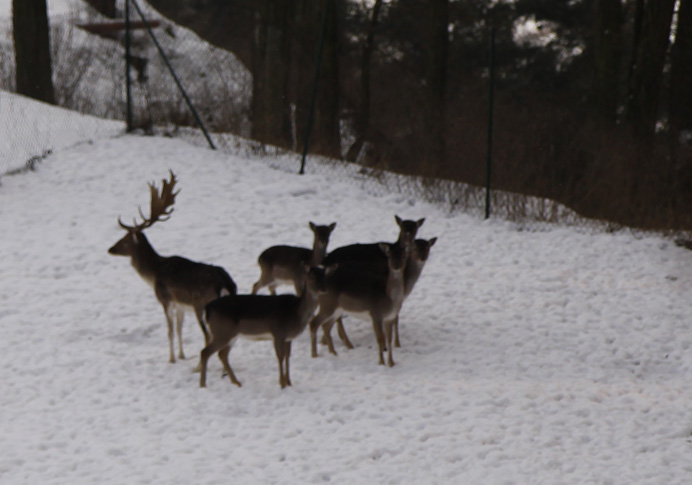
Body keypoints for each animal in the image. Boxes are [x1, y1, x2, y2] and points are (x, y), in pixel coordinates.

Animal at [108, 170, 237, 364]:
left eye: (124, 240)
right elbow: (179, 328)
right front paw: (182, 355)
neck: (154, 274)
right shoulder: (180, 305)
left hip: (202, 305)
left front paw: (171, 358)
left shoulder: (165, 299)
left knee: (208, 337)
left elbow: (169, 331)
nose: (110, 249)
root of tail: (224, 282)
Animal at [200, 262, 332, 388]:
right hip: (222, 332)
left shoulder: (288, 337)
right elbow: (280, 357)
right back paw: (203, 384)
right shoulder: (278, 333)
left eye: (324, 276)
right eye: (311, 277)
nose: (324, 289)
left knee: (222, 354)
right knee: (205, 352)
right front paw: (282, 383)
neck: (296, 312)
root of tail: (208, 308)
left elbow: (288, 357)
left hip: (229, 335)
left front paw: (289, 382)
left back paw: (236, 382)